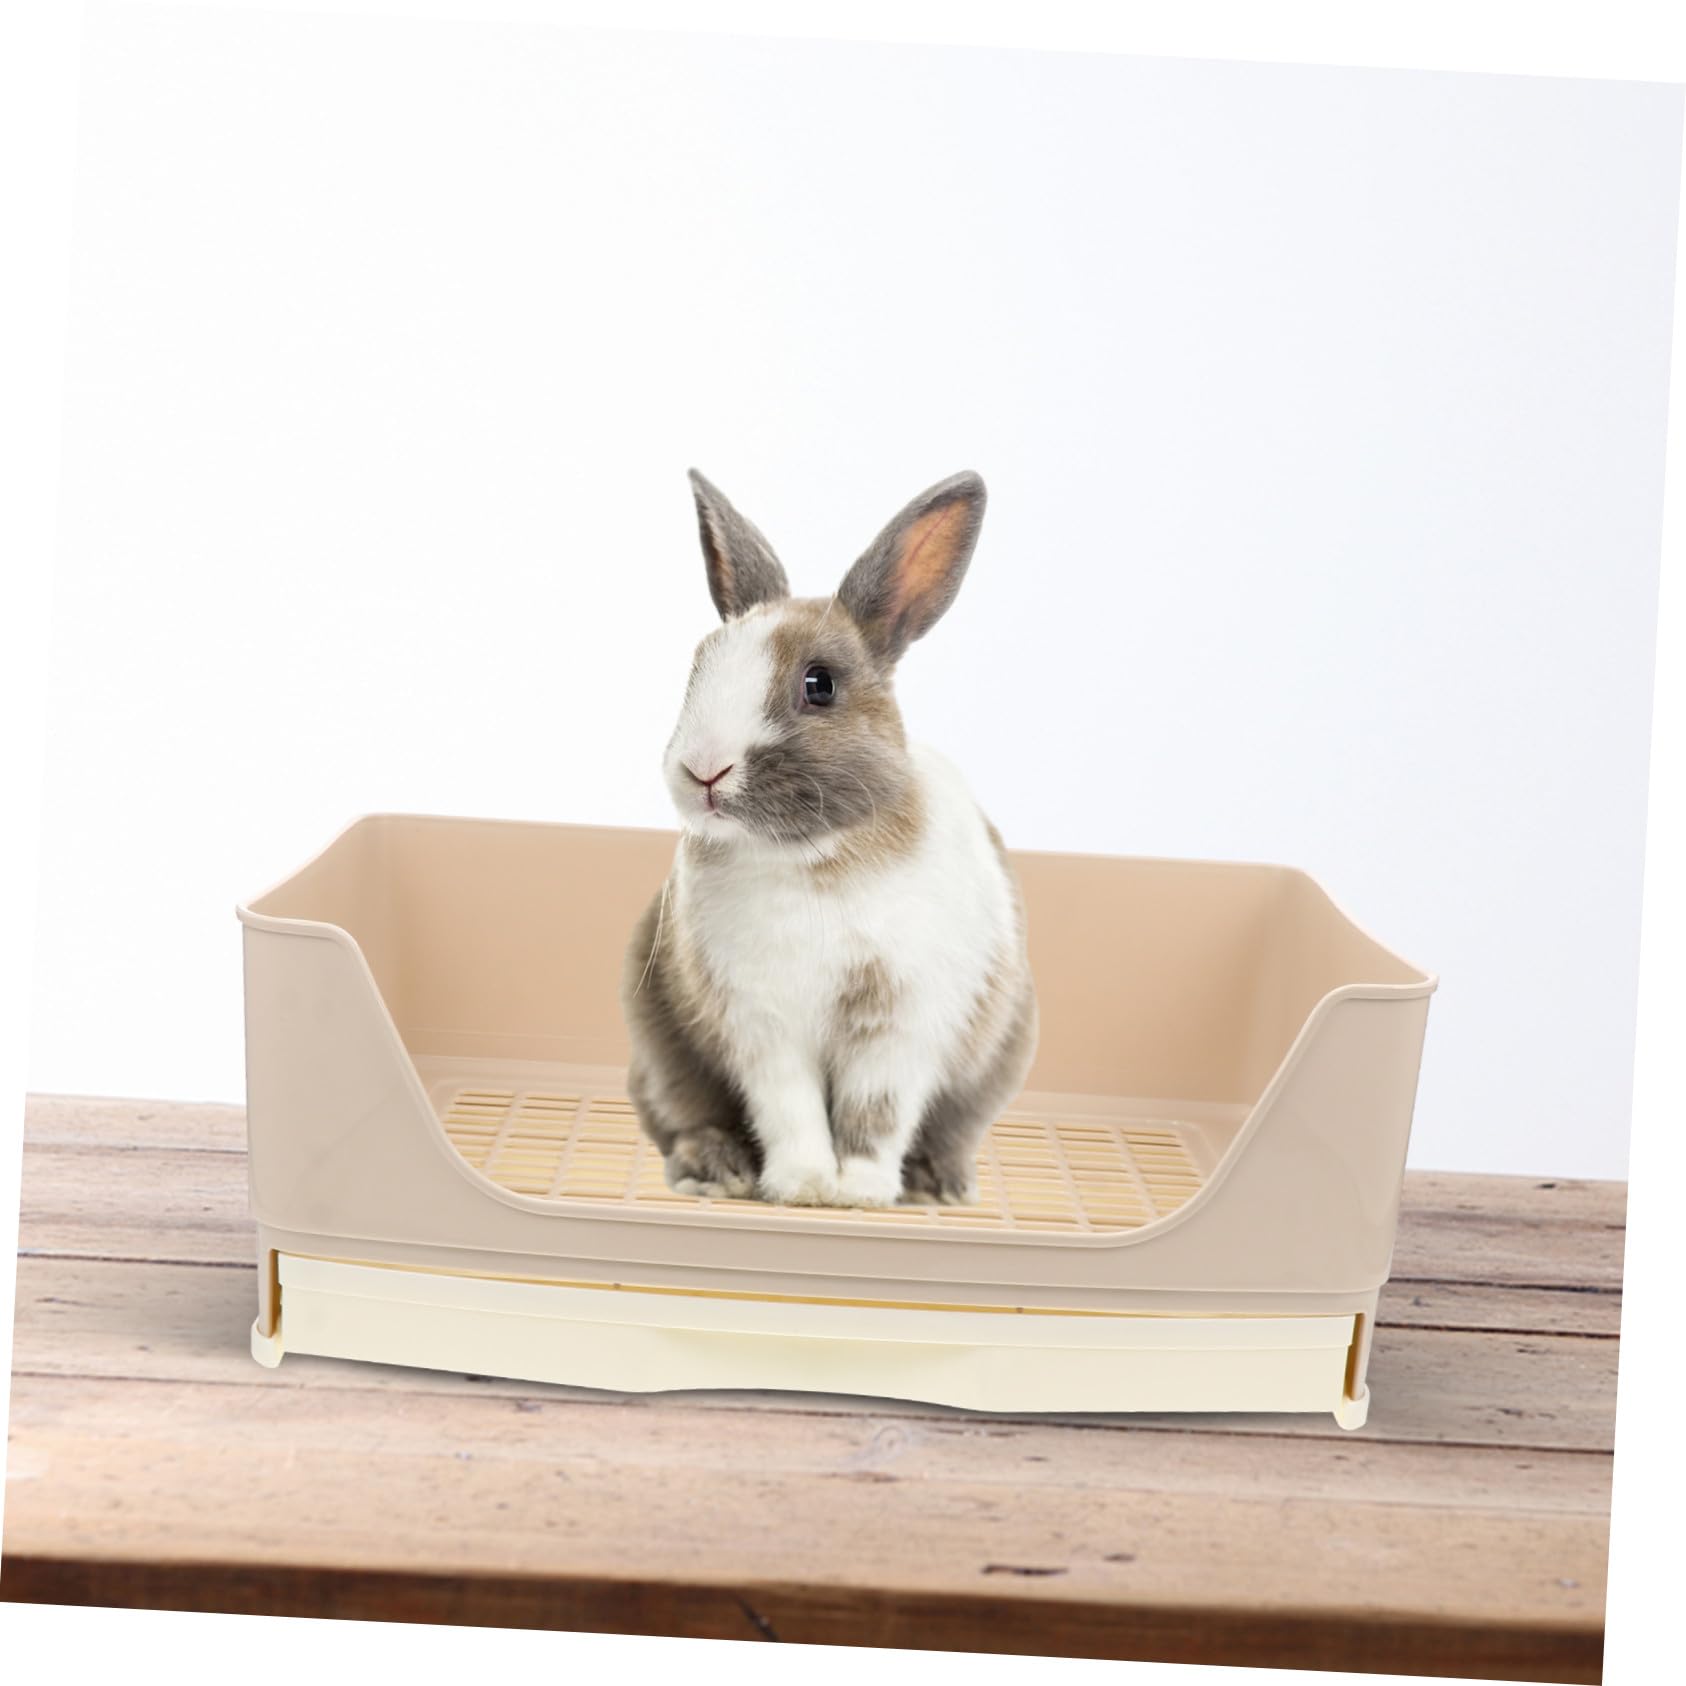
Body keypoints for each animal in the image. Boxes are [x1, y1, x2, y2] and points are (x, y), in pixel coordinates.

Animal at [620, 468, 1038, 1209]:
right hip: (659, 1053)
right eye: (697, 668)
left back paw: (939, 1187)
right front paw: (806, 1186)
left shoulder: (900, 1026)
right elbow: (791, 1109)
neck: (810, 857)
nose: (702, 770)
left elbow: (876, 1113)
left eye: (820, 685)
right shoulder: (762, 1027)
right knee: (687, 1118)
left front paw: (861, 1191)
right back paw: (718, 1172)